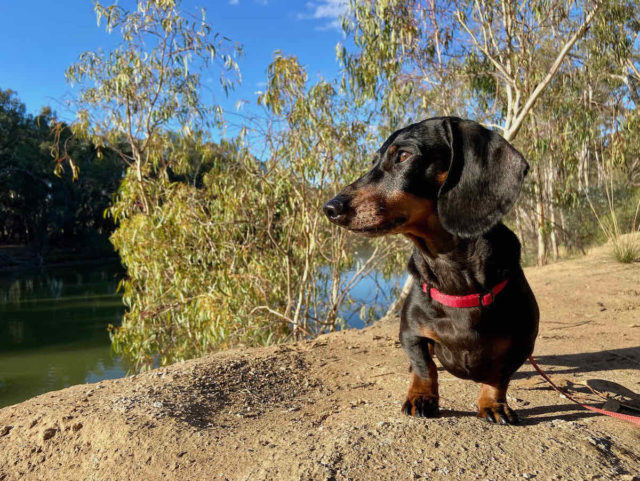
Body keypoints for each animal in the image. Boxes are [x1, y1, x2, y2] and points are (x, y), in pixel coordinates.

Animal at [322, 116, 536, 424]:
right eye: (374, 161)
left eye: (403, 155)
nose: (330, 208)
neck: (452, 271)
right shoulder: (411, 333)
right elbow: (425, 367)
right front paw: (421, 397)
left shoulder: (522, 345)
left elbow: (498, 378)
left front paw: (493, 404)